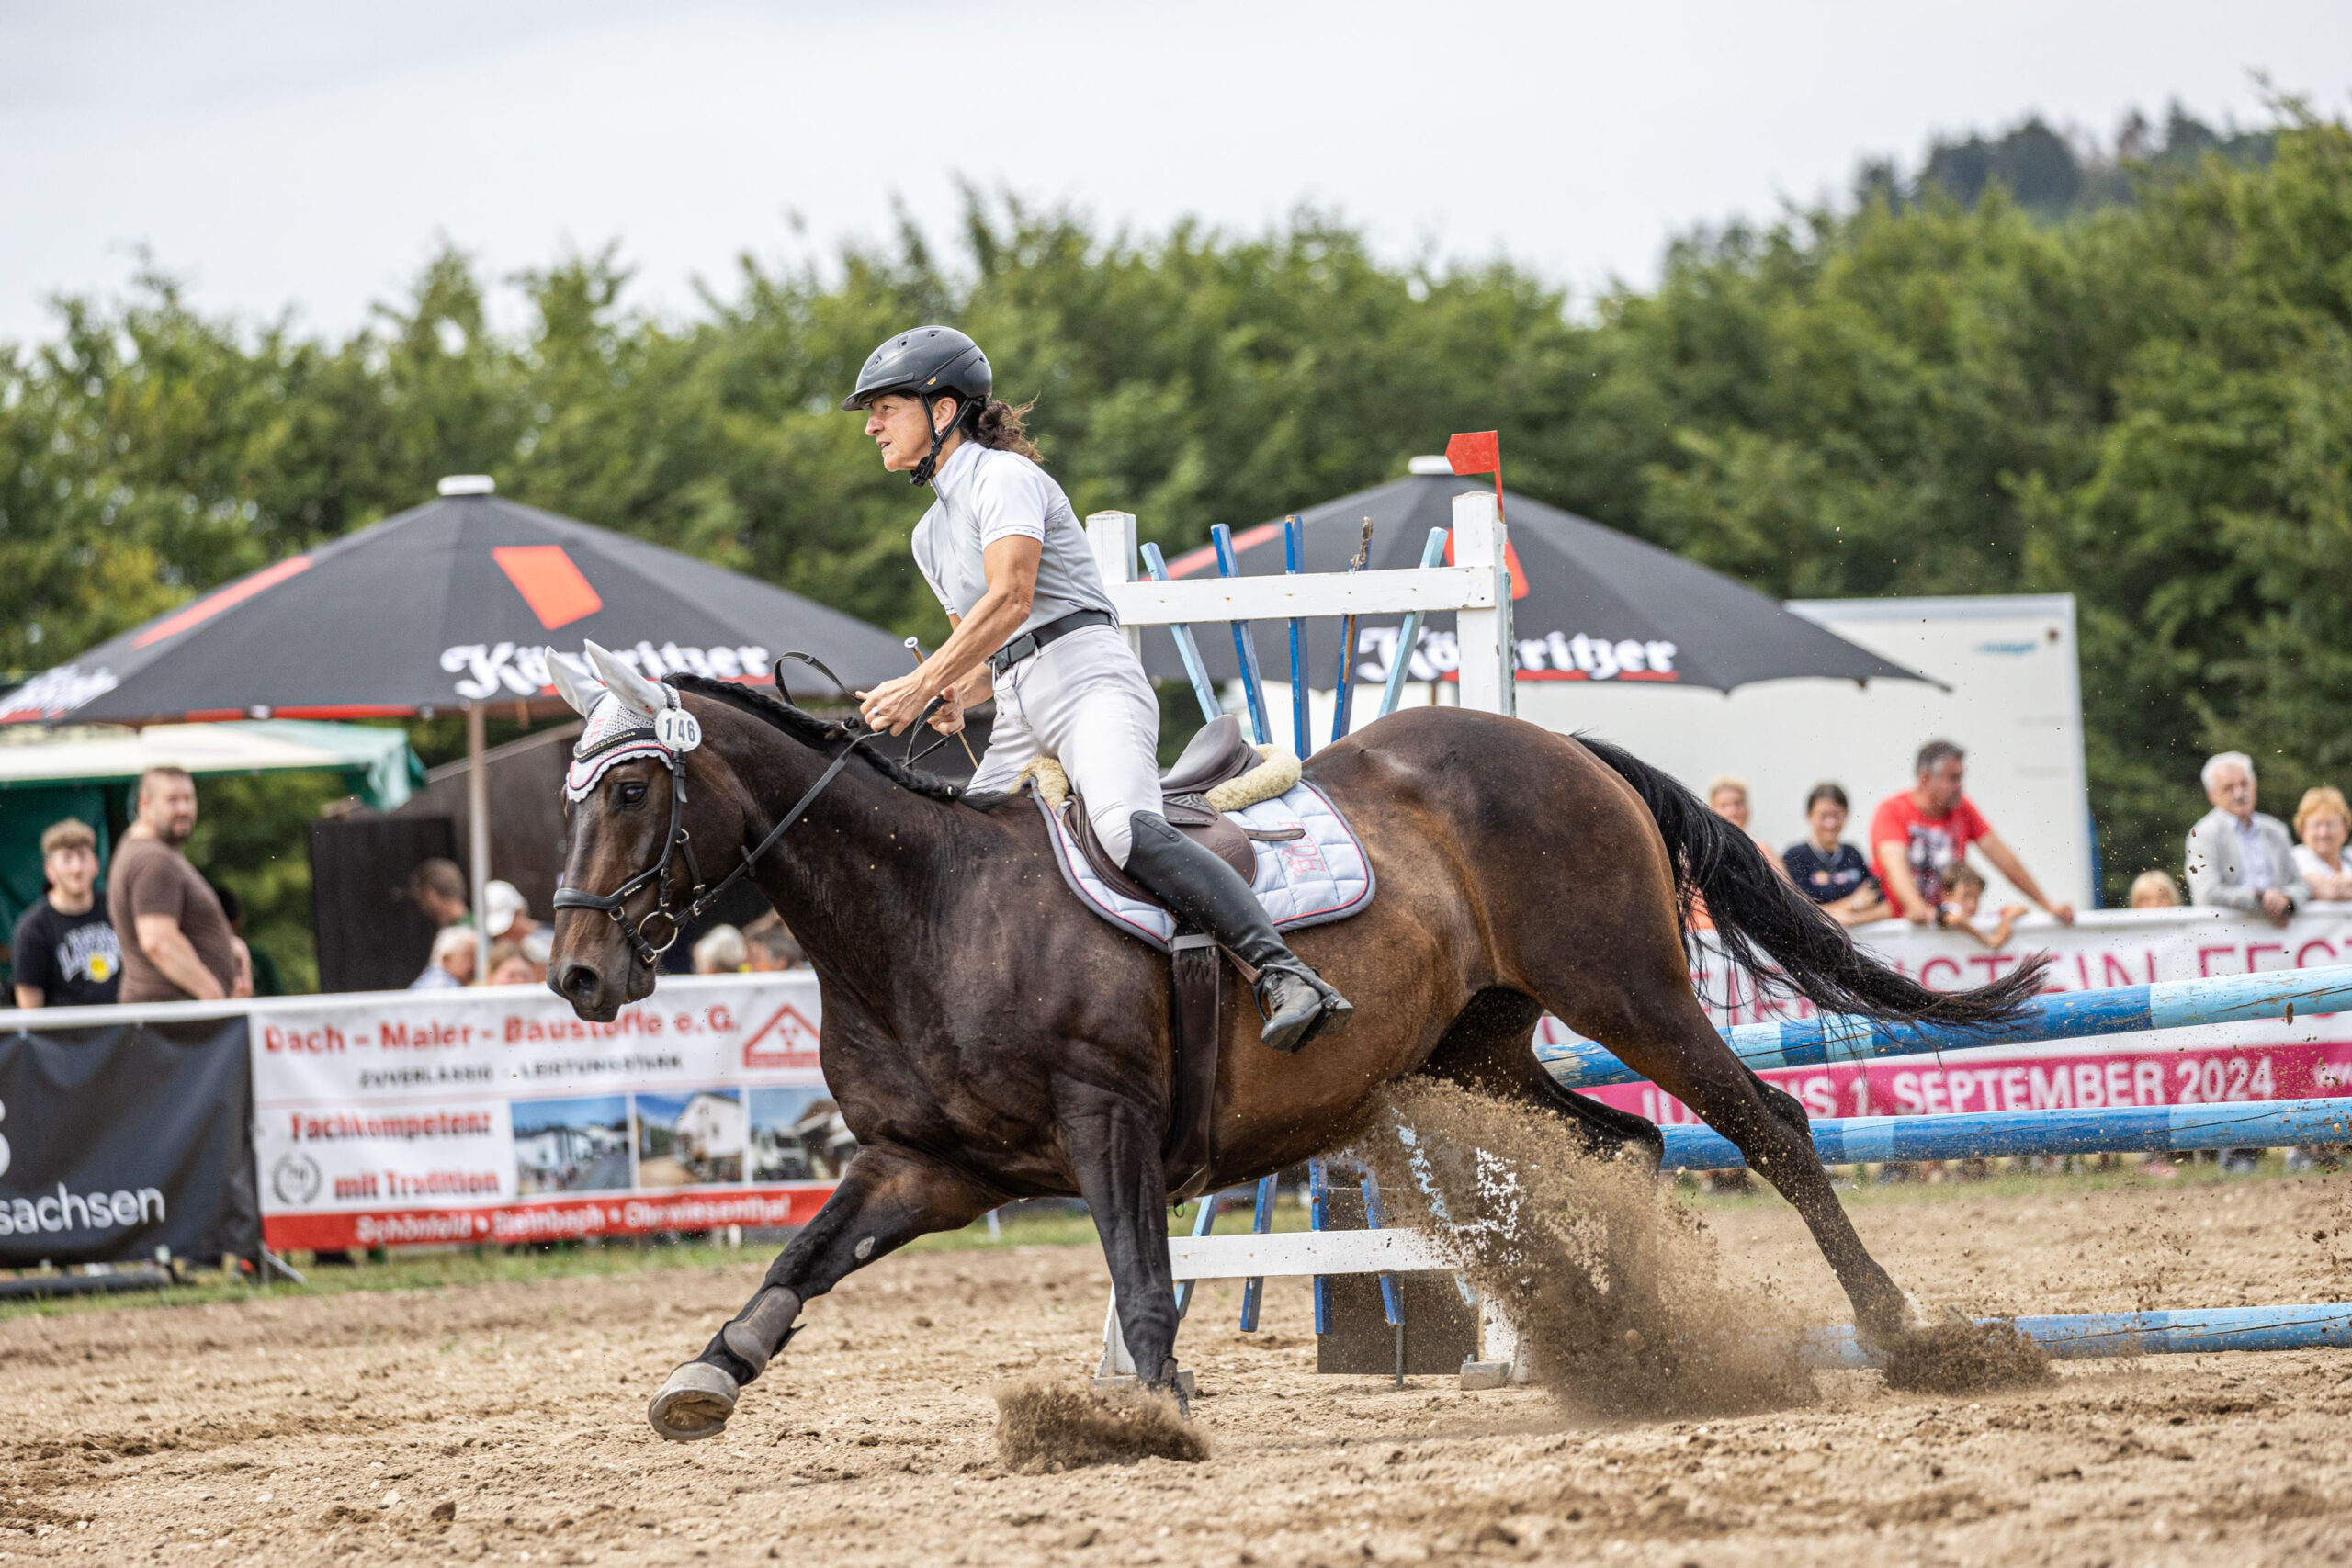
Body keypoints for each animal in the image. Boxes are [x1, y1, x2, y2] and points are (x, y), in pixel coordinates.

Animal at [545, 644, 2041, 1438]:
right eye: (573, 792)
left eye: (630, 790)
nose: (573, 972)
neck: (925, 910)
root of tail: (1563, 745)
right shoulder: (926, 1165)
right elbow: (799, 1259)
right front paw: (705, 1373)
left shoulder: (1107, 1120)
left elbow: (1142, 1276)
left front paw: (1153, 1409)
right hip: (1472, 1050)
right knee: (1625, 1143)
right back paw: (1640, 1344)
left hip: (1631, 992)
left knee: (1769, 1128)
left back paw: (1900, 1332)